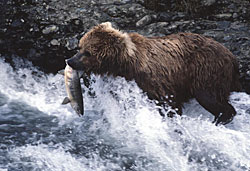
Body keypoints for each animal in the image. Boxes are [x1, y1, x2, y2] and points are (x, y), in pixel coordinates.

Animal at [65, 22, 241, 125]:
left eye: (88, 52)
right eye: (80, 47)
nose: (70, 61)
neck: (126, 64)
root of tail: (232, 57)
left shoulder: (155, 79)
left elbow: (169, 104)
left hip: (206, 70)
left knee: (209, 97)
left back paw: (219, 119)